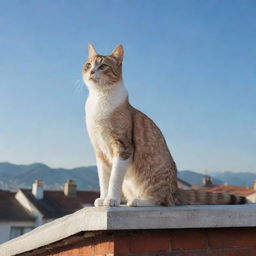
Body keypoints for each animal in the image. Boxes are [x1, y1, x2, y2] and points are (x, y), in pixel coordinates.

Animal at [82, 44, 246, 207]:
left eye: (103, 66)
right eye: (89, 65)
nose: (91, 71)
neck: (99, 98)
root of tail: (176, 190)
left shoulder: (123, 147)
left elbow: (114, 179)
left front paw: (112, 199)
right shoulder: (100, 152)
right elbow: (104, 180)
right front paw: (103, 198)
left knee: (160, 200)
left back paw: (137, 201)